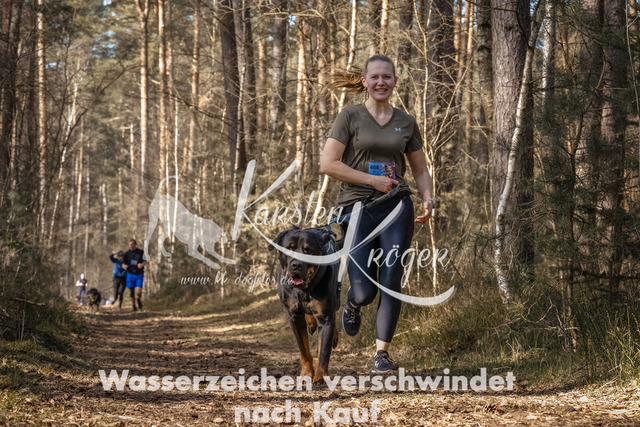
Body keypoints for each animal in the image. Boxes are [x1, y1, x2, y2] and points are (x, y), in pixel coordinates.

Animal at [269, 226, 340, 383]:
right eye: (289, 248)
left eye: (309, 251)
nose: (297, 264)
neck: (304, 290)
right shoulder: (294, 317)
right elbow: (304, 350)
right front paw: (306, 374)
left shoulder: (325, 317)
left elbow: (323, 351)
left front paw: (321, 376)